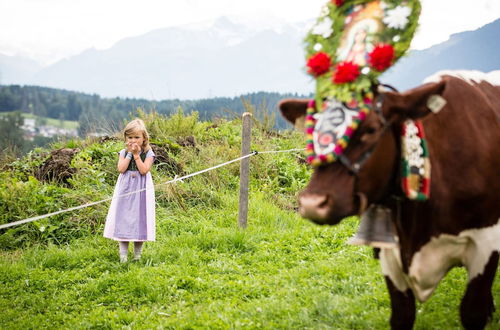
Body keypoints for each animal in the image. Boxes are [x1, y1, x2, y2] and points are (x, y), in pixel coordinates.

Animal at [280, 71, 498, 328]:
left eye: (372, 129)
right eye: (311, 130)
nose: (313, 204)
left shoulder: (486, 243)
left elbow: (473, 313)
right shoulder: (390, 254)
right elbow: (402, 315)